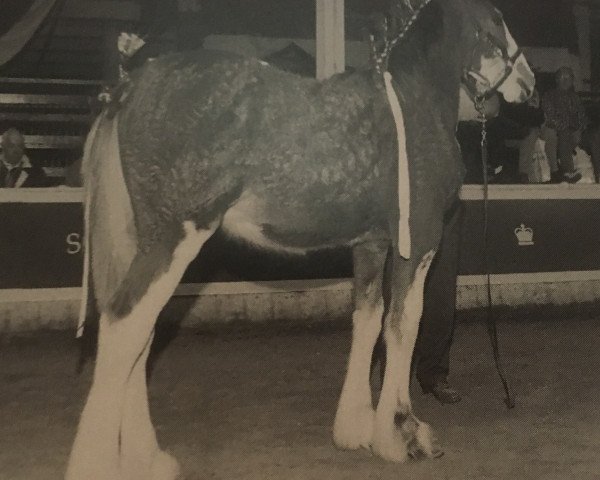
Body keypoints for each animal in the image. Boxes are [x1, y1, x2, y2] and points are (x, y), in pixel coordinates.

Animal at [65, 1, 536, 478]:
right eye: (497, 20)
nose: (529, 82)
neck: (410, 101)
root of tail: (127, 89)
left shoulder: (371, 246)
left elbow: (368, 320)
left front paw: (355, 429)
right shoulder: (417, 241)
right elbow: (404, 323)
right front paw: (403, 435)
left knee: (140, 335)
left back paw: (147, 458)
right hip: (173, 238)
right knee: (125, 325)